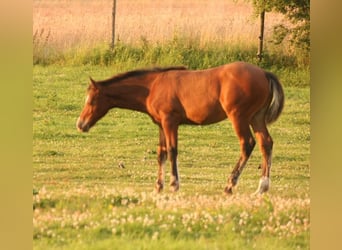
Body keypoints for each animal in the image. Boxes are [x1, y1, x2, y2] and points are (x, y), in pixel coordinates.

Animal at [76, 61, 284, 194]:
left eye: (91, 100)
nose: (80, 124)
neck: (152, 87)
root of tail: (264, 73)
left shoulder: (170, 121)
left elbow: (172, 151)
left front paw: (174, 184)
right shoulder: (161, 124)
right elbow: (161, 153)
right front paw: (158, 186)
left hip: (238, 117)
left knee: (247, 144)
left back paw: (230, 185)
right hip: (256, 118)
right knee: (266, 143)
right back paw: (262, 187)